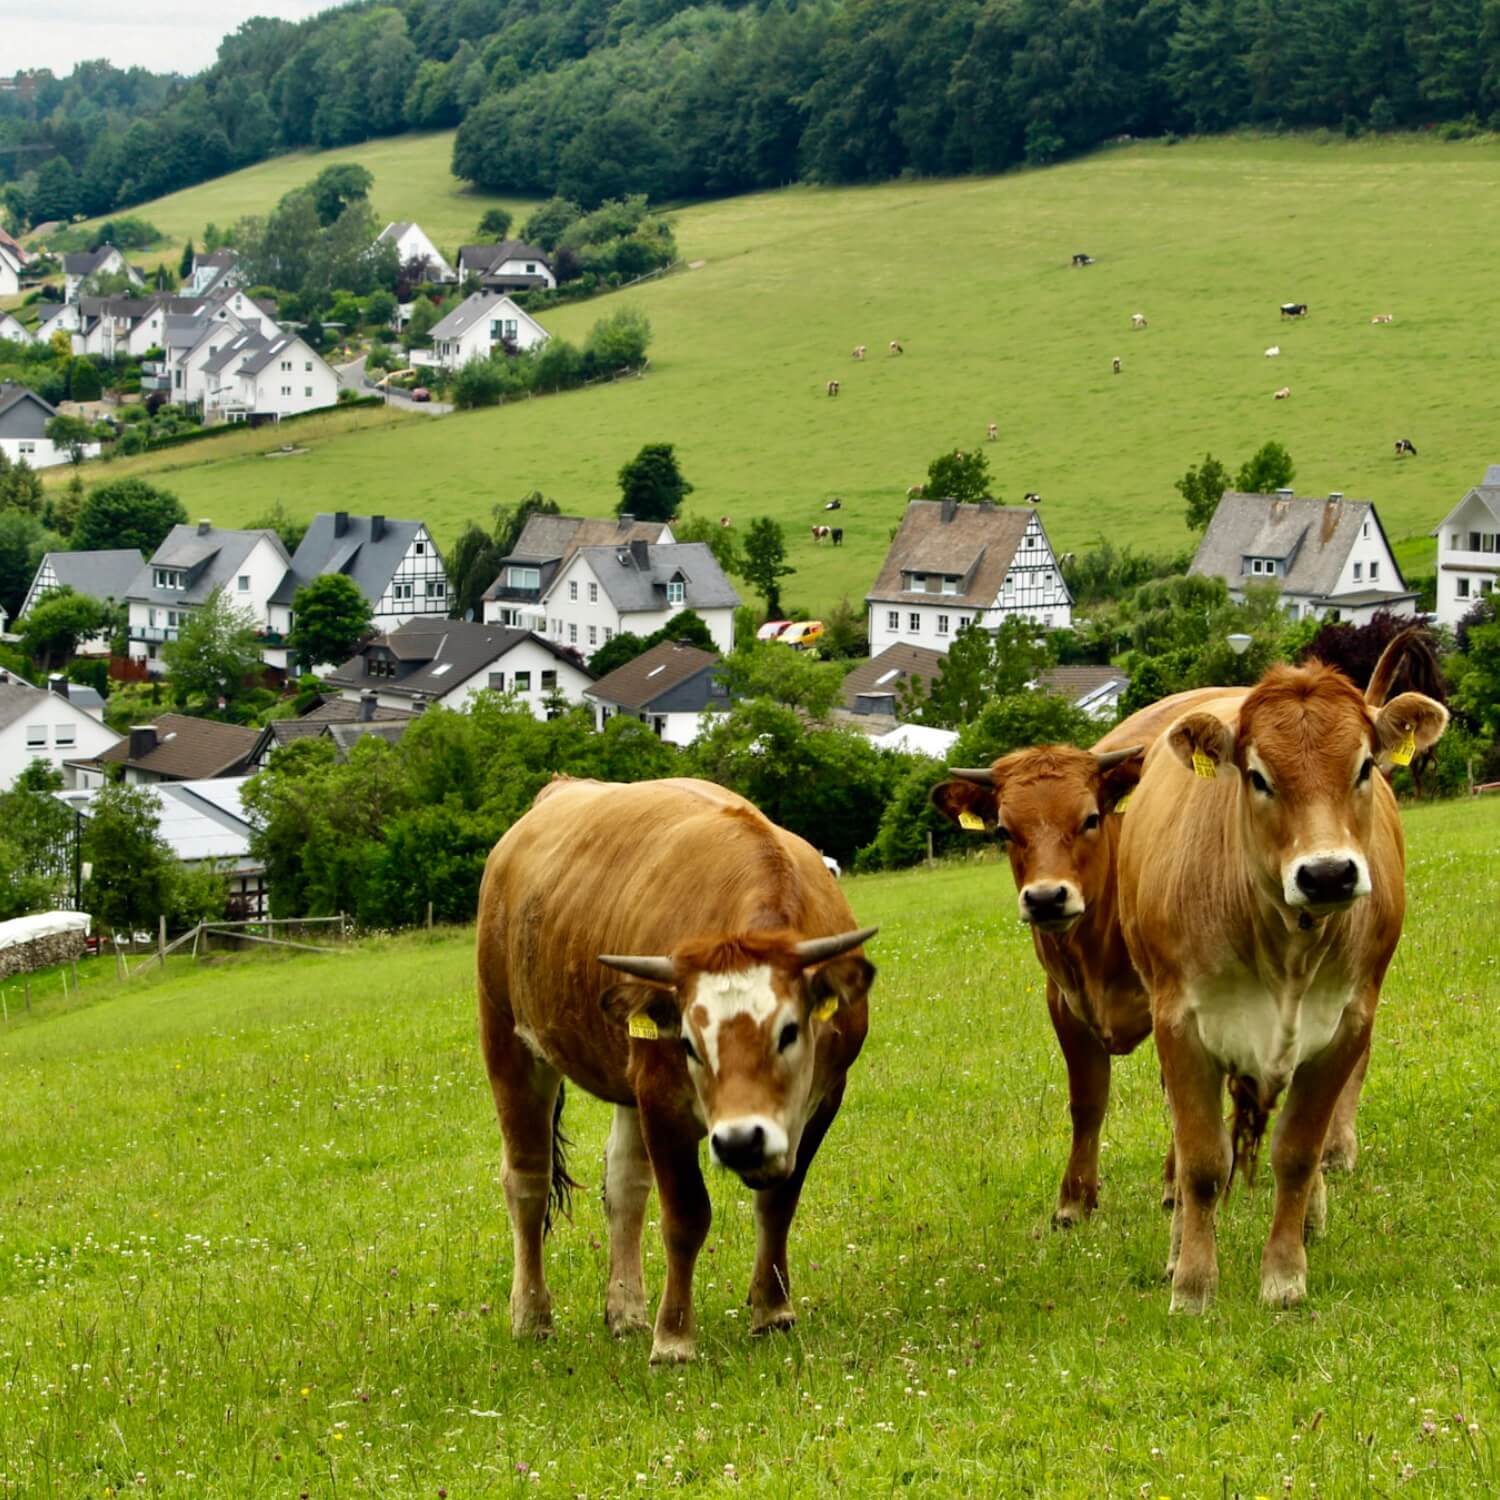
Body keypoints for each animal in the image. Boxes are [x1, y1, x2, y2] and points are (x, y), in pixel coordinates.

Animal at [476, 777, 878, 1364]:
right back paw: (532, 1316)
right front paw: (674, 1338)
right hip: (510, 1042)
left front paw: (772, 1310)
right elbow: (686, 1216)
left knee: (623, 1184)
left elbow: (778, 1203)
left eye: (788, 1031)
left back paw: (626, 1311)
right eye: (688, 1042)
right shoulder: (660, 1096)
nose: (741, 1140)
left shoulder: (825, 1097)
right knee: (527, 1179)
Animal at [1118, 662, 1447, 1313]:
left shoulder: (1345, 1026)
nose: (1327, 874)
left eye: (1364, 766)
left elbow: (1297, 1151)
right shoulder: (1180, 1026)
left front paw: (1285, 1274)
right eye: (1258, 777)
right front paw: (1193, 1282)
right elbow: (1200, 1160)